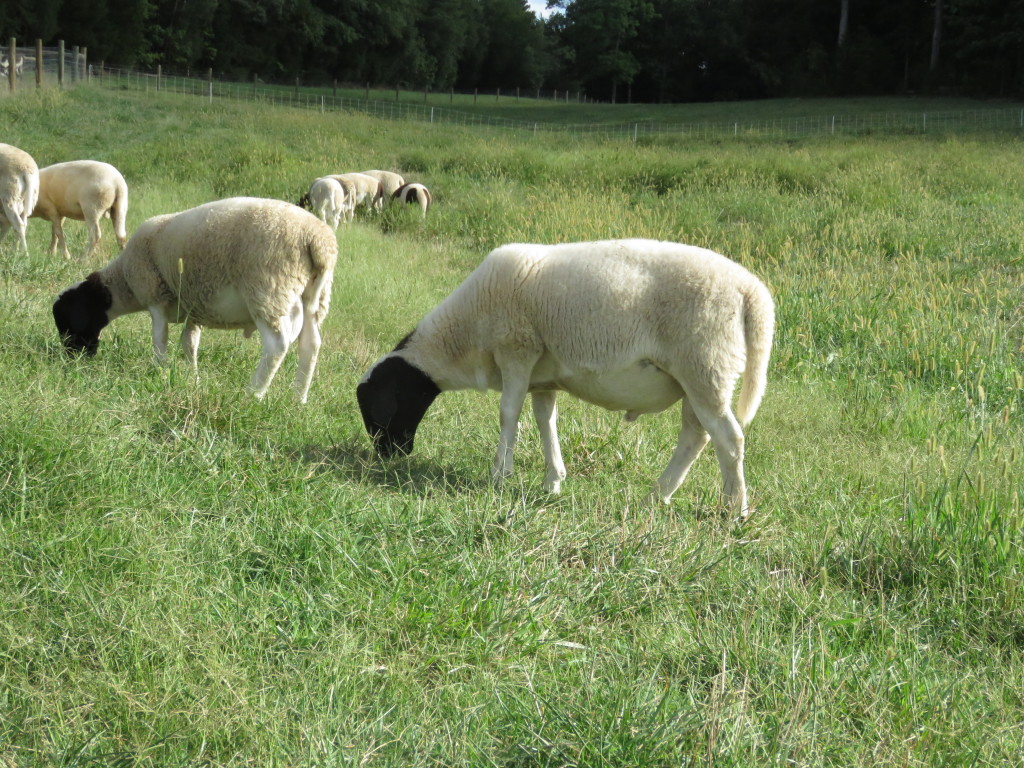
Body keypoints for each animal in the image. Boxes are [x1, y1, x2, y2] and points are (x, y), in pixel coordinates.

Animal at [52, 196, 335, 403]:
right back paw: (298, 398)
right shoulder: (193, 307)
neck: (124, 283)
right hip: (315, 297)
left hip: (269, 290)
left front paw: (162, 372)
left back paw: (253, 394)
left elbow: (160, 340)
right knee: (310, 344)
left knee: (277, 345)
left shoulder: (155, 295)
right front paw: (193, 378)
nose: (72, 359)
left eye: (67, 320)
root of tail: (317, 240)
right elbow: (189, 344)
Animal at [356, 239, 770, 518]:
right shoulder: (543, 379)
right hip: (699, 377)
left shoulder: (517, 349)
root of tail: (753, 295)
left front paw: (499, 475)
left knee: (728, 439)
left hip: (705, 366)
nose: (388, 457)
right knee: (695, 437)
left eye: (378, 408)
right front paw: (553, 481)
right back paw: (656, 496)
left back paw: (734, 510)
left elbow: (508, 414)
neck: (465, 335)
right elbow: (545, 421)